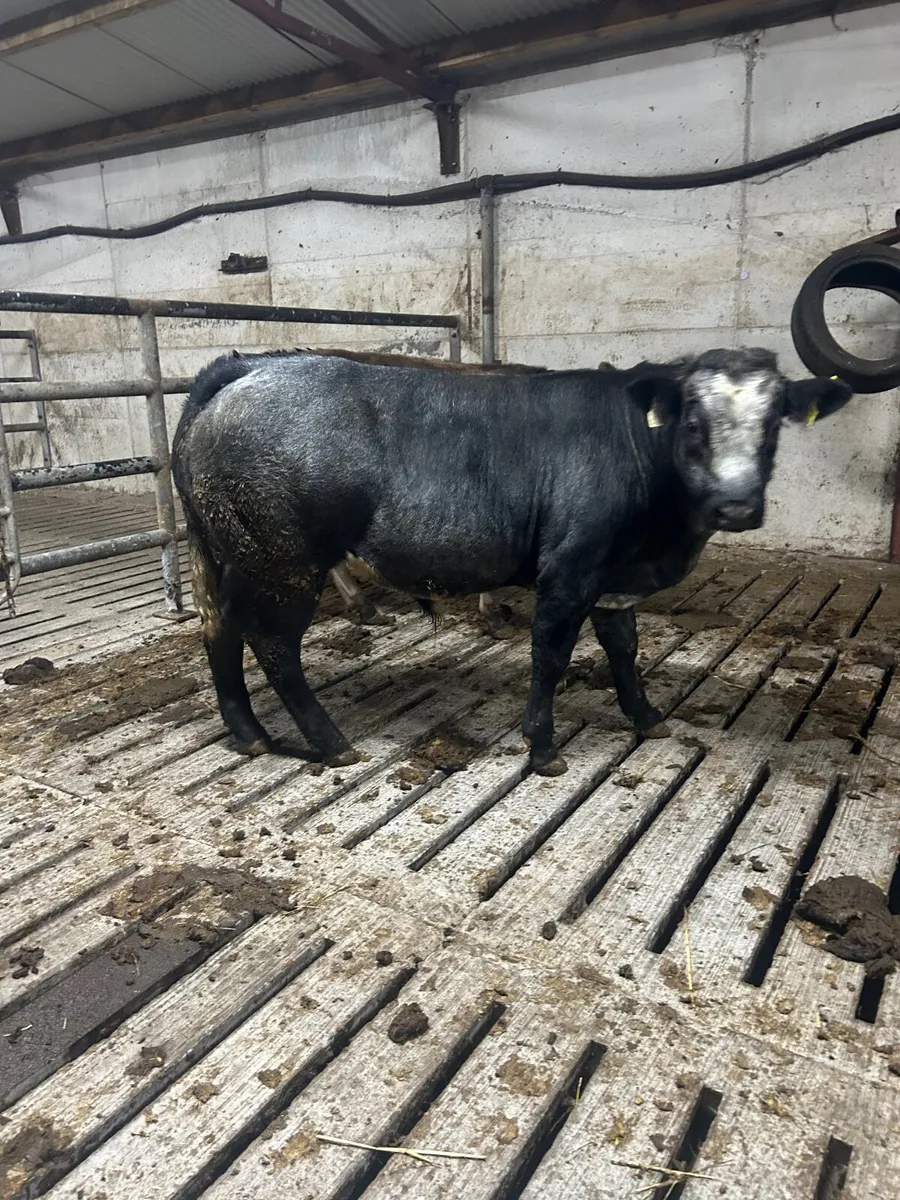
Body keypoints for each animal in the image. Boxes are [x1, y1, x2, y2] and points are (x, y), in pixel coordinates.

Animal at [172, 348, 851, 776]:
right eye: (691, 421)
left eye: (775, 422)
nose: (736, 506)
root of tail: (250, 366)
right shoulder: (569, 571)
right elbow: (550, 656)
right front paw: (543, 748)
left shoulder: (611, 577)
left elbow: (624, 650)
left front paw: (647, 717)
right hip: (284, 562)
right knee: (273, 643)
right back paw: (330, 741)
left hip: (232, 554)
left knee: (219, 628)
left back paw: (249, 734)